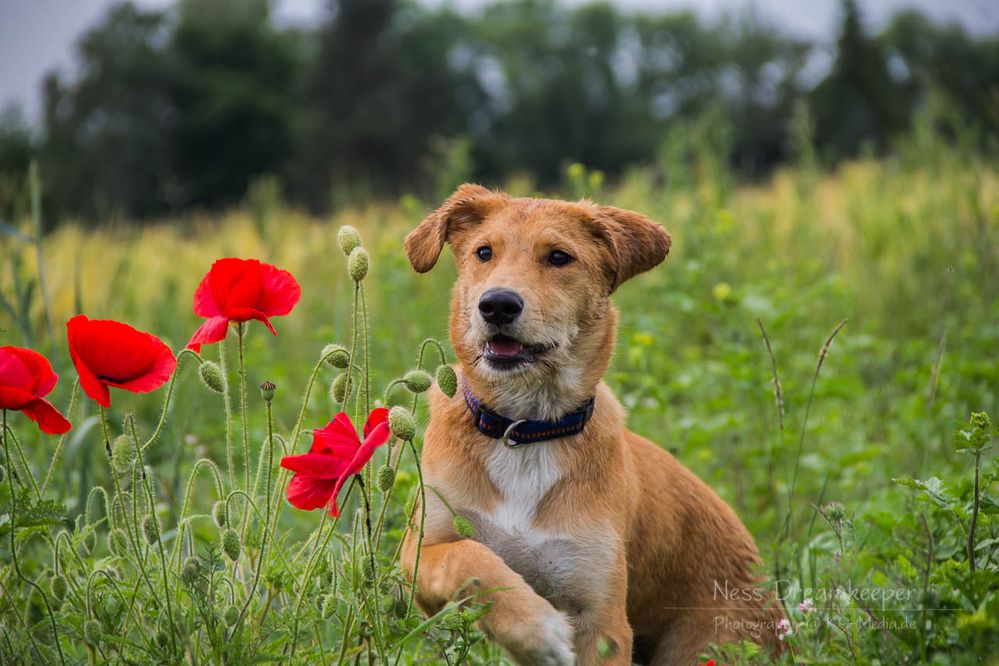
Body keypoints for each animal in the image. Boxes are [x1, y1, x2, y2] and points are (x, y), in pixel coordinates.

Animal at [398, 184, 780, 660]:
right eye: (483, 252)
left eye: (559, 257)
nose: (497, 304)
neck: (525, 431)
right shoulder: (417, 556)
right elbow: (470, 557)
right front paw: (537, 628)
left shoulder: (602, 615)